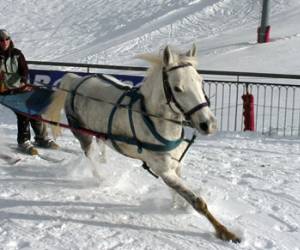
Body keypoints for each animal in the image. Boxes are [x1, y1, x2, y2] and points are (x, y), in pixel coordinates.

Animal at [43, 44, 241, 242]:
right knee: (89, 155)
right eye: (177, 88)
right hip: (82, 133)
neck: (155, 120)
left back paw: (104, 162)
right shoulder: (163, 170)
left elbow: (179, 192)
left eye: (201, 82)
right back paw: (100, 177)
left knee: (101, 146)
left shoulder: (176, 165)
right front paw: (226, 232)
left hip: (98, 131)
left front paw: (179, 205)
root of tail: (76, 80)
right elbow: (197, 201)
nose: (209, 124)